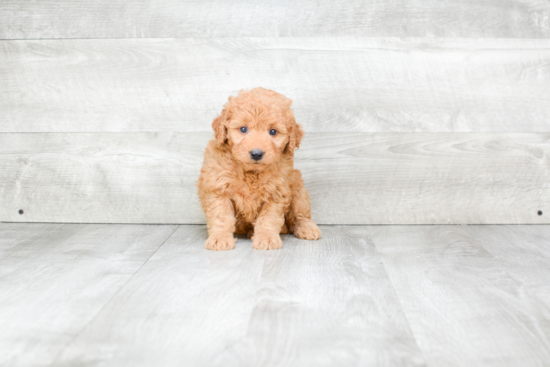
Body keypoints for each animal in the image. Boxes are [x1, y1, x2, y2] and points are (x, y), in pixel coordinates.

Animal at [197, 87, 322, 252]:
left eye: (273, 132)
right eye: (243, 129)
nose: (256, 153)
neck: (250, 172)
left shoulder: (276, 192)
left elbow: (268, 218)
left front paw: (266, 237)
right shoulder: (218, 188)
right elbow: (221, 216)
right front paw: (220, 238)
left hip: (298, 188)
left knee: (300, 216)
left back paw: (307, 228)